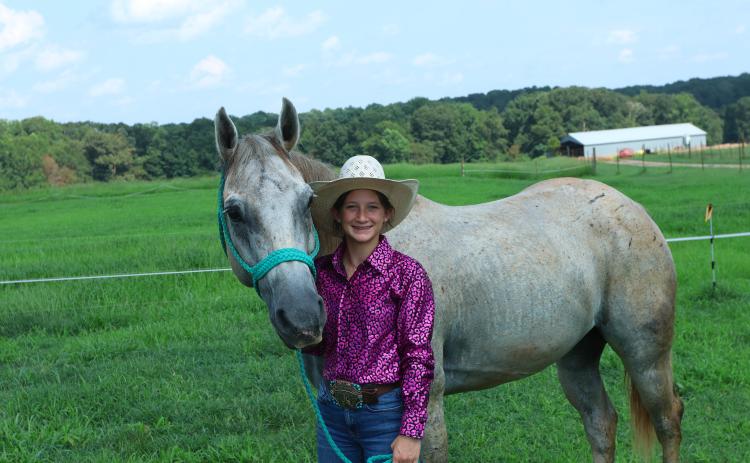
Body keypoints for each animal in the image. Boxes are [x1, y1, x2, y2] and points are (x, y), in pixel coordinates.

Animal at [214, 98, 683, 462]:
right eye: (234, 212)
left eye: (306, 201)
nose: (302, 316)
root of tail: (632, 209)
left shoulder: (427, 408)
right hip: (577, 355)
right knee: (601, 423)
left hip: (645, 354)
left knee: (668, 420)